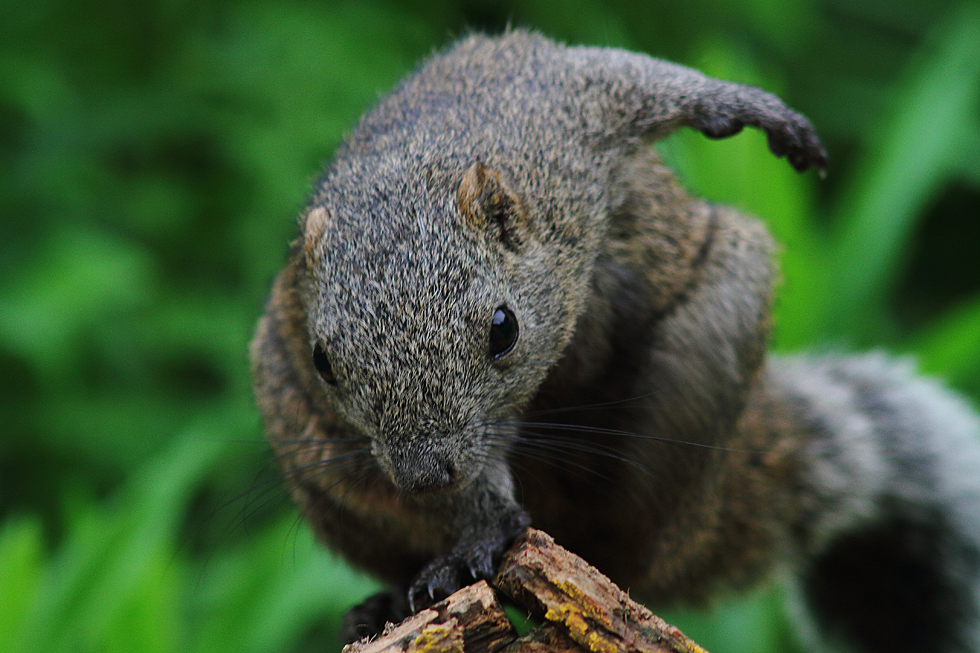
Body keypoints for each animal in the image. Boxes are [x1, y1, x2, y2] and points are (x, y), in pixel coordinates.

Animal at [250, 30, 980, 653]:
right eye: (322, 361)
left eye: (502, 330)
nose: (423, 476)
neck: (415, 165)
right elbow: (477, 478)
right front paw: (480, 524)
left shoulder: (567, 105)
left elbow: (637, 78)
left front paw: (750, 108)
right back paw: (385, 603)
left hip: (708, 356)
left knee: (630, 549)